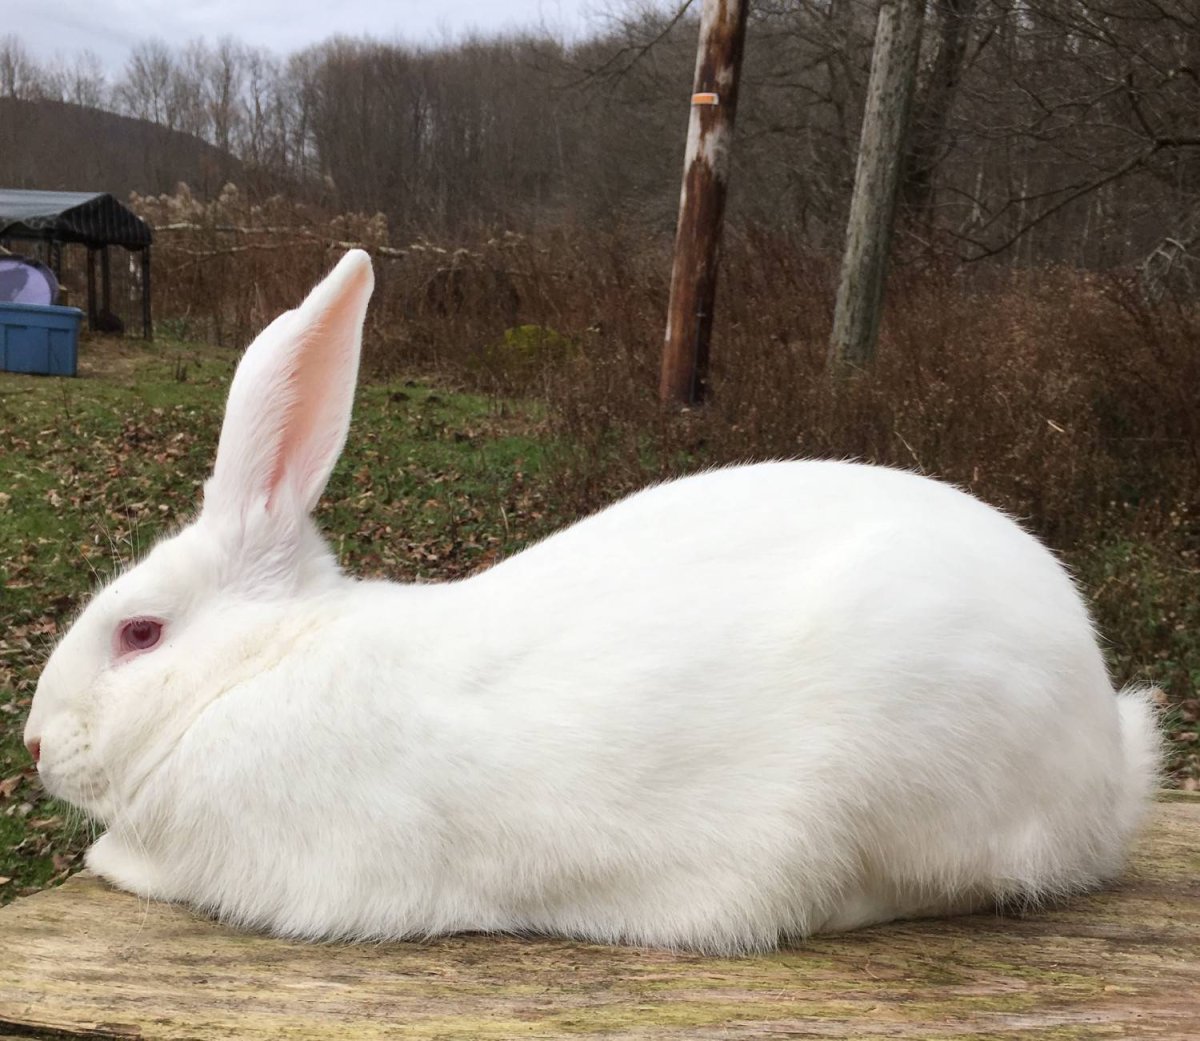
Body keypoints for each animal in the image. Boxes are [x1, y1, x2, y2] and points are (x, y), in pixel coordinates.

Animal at [24, 250, 1160, 954]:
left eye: (139, 633)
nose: (34, 744)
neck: (260, 664)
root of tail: (1111, 759)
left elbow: (136, 862)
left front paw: (100, 857)